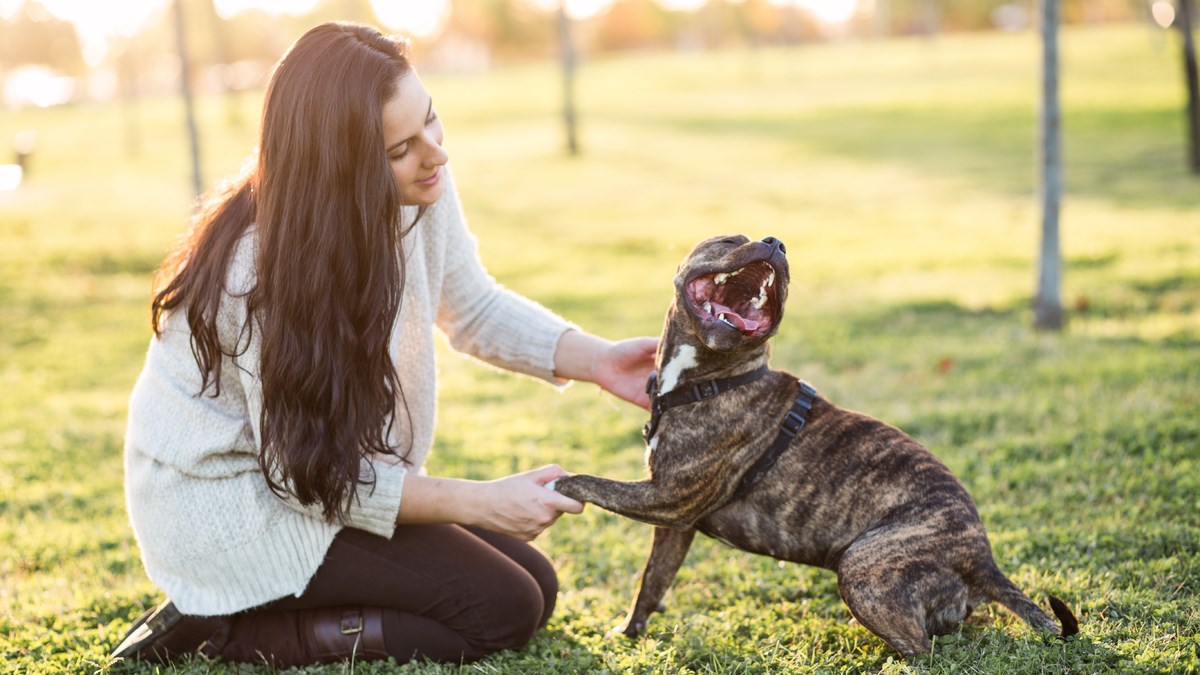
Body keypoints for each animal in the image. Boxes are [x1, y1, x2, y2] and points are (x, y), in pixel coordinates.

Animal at [552, 233, 1080, 658]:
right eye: (730, 239)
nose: (776, 242)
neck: (710, 379)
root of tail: (982, 558)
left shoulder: (667, 499)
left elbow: (594, 483)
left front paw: (558, 483)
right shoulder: (674, 524)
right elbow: (651, 582)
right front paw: (628, 633)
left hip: (864, 570)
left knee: (923, 651)